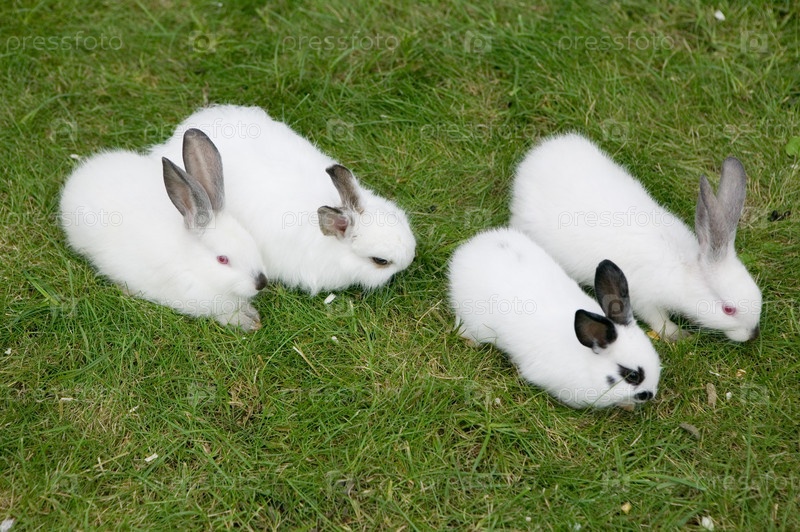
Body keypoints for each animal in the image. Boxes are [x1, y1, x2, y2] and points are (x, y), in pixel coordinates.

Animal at [59, 128, 268, 330]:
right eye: (222, 259)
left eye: (250, 240)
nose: (261, 283)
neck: (194, 266)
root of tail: (78, 177)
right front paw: (245, 322)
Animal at [510, 133, 762, 342]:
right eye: (728, 310)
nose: (752, 334)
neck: (683, 269)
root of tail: (532, 162)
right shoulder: (645, 299)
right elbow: (658, 320)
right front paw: (678, 335)